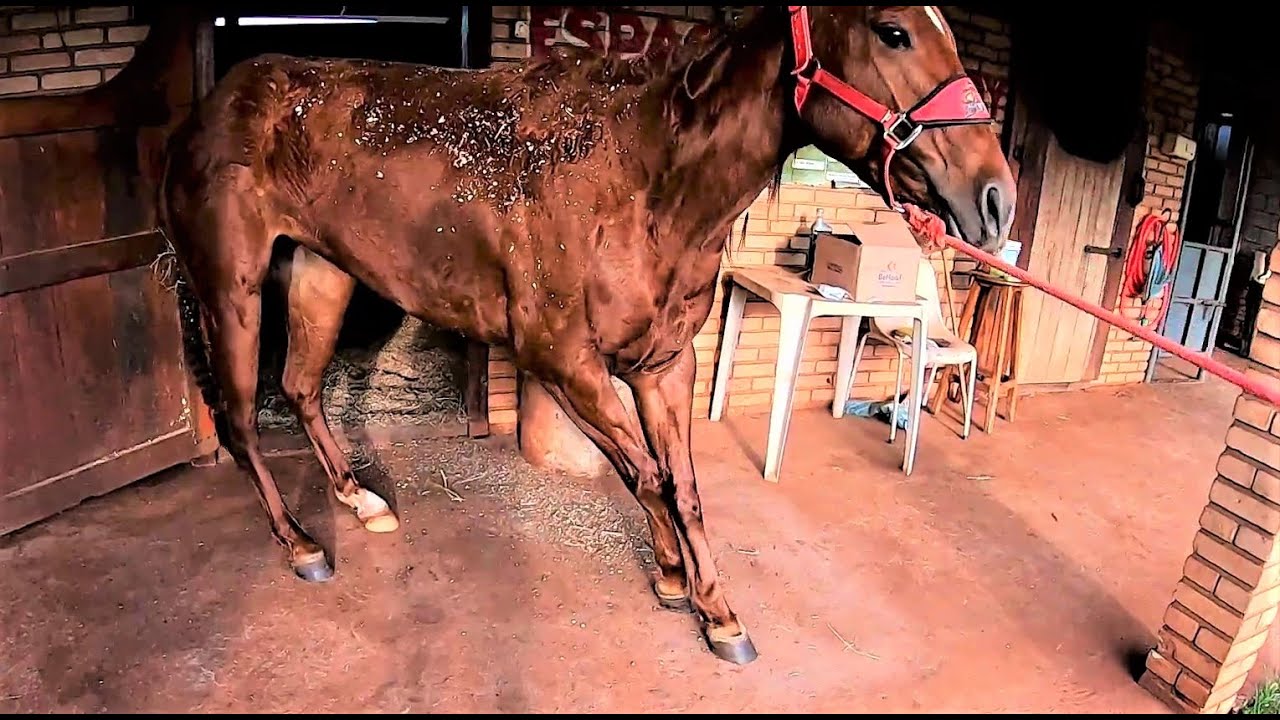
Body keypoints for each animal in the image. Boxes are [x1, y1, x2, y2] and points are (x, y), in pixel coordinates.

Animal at [158, 5, 1016, 665]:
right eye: (893, 30)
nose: (995, 200)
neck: (647, 181)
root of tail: (207, 112)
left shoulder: (664, 365)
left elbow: (683, 488)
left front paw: (712, 606)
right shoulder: (564, 359)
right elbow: (648, 477)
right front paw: (684, 589)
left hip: (322, 272)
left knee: (302, 389)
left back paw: (360, 500)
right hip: (231, 289)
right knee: (242, 416)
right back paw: (302, 544)